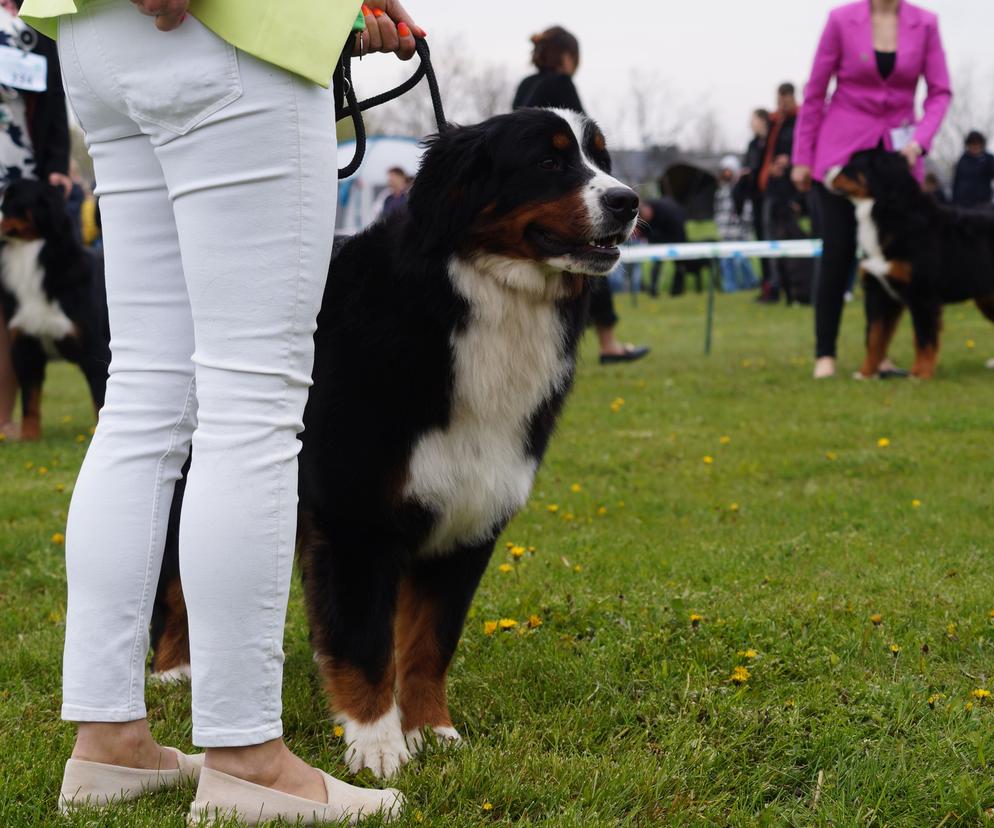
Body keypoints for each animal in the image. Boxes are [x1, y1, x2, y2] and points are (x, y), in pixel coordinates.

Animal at [0, 180, 109, 440]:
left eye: (10, 198)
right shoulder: (24, 346)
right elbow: (30, 401)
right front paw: (28, 439)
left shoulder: (95, 350)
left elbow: (100, 401)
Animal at [151, 108, 640, 776]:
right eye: (548, 160)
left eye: (602, 160)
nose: (629, 201)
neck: (476, 302)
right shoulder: (357, 517)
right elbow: (365, 642)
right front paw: (377, 747)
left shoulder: (469, 519)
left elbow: (429, 643)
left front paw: (431, 730)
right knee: (172, 578)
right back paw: (174, 671)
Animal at [828, 148, 992, 378]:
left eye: (852, 165)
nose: (826, 170)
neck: (886, 211)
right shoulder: (879, 292)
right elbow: (874, 337)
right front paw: (865, 373)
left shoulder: (922, 293)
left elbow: (923, 338)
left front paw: (920, 374)